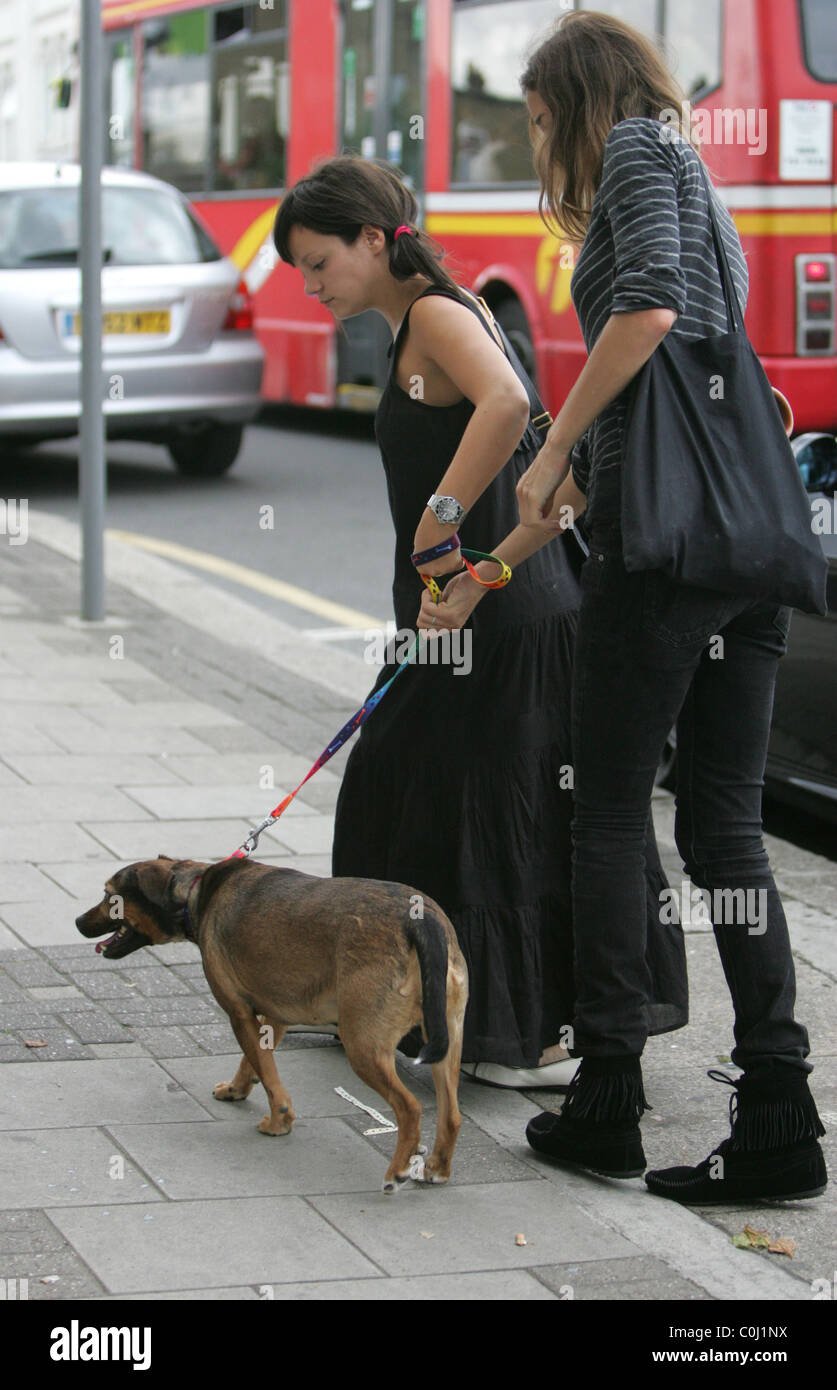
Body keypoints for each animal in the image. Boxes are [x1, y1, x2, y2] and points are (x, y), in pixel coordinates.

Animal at [75, 850, 467, 1189]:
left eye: (109, 896)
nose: (78, 922)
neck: (196, 890)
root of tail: (421, 921)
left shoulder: (238, 1012)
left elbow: (268, 1076)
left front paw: (279, 1121)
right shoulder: (274, 1016)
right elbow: (256, 1063)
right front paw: (238, 1089)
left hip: (363, 1046)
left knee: (410, 1108)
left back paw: (397, 1170)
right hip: (447, 1038)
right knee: (451, 1114)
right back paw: (437, 1168)